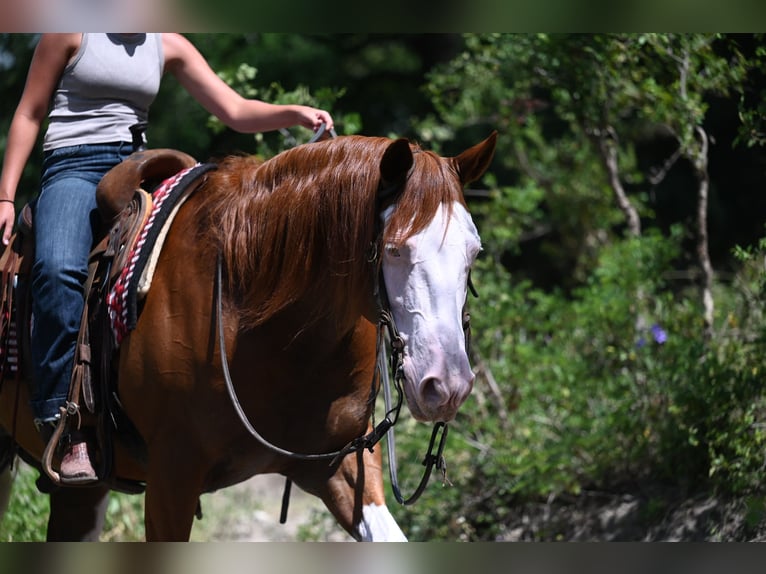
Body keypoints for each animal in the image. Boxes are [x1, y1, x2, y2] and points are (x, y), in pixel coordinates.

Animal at [0, 131, 497, 541]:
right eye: (394, 249)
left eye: (474, 251)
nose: (447, 385)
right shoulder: (171, 478)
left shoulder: (340, 466)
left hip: (82, 491)